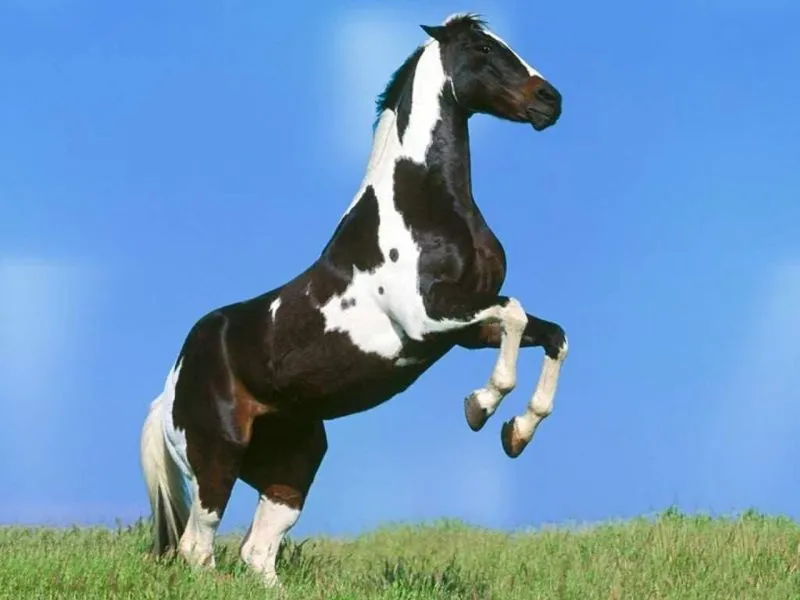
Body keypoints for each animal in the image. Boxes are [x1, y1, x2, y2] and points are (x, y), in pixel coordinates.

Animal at [140, 12, 568, 587]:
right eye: (482, 48)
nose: (550, 100)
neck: (421, 207)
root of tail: (168, 390)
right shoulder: (428, 319)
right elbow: (516, 314)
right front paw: (480, 408)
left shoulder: (469, 327)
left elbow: (551, 335)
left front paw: (516, 433)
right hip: (217, 460)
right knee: (197, 549)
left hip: (294, 463)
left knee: (258, 552)